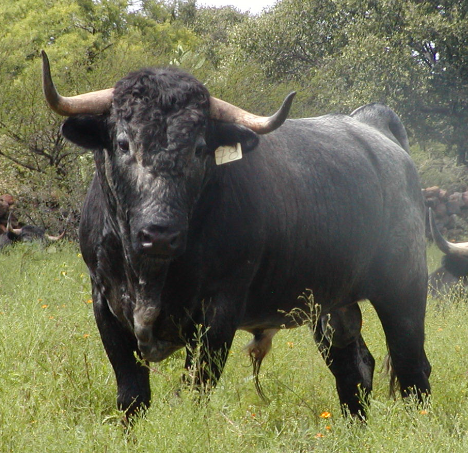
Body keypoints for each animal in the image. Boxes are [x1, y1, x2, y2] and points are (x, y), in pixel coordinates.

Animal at [42, 50, 430, 420]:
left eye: (200, 148)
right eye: (123, 143)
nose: (160, 234)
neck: (150, 275)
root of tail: (372, 128)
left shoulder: (219, 310)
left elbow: (194, 391)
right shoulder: (104, 303)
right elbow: (132, 396)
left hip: (404, 289)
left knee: (412, 368)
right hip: (333, 306)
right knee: (355, 368)